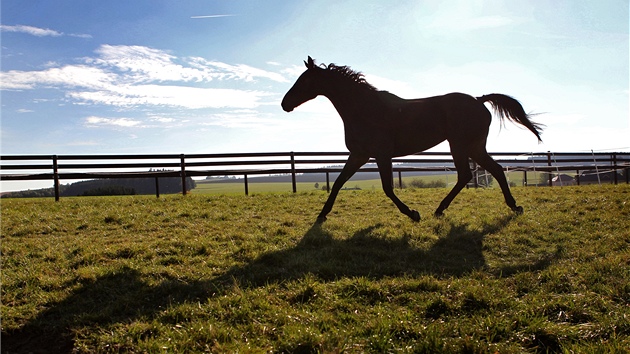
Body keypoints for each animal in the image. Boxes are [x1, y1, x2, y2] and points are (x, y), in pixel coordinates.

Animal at [282, 56, 544, 221]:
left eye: (304, 80)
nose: (285, 103)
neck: (365, 109)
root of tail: (479, 100)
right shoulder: (359, 155)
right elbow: (338, 182)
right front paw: (321, 215)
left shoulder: (381, 154)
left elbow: (387, 187)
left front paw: (413, 214)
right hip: (474, 147)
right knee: (494, 170)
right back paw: (513, 206)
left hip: (461, 146)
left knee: (467, 175)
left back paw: (439, 210)